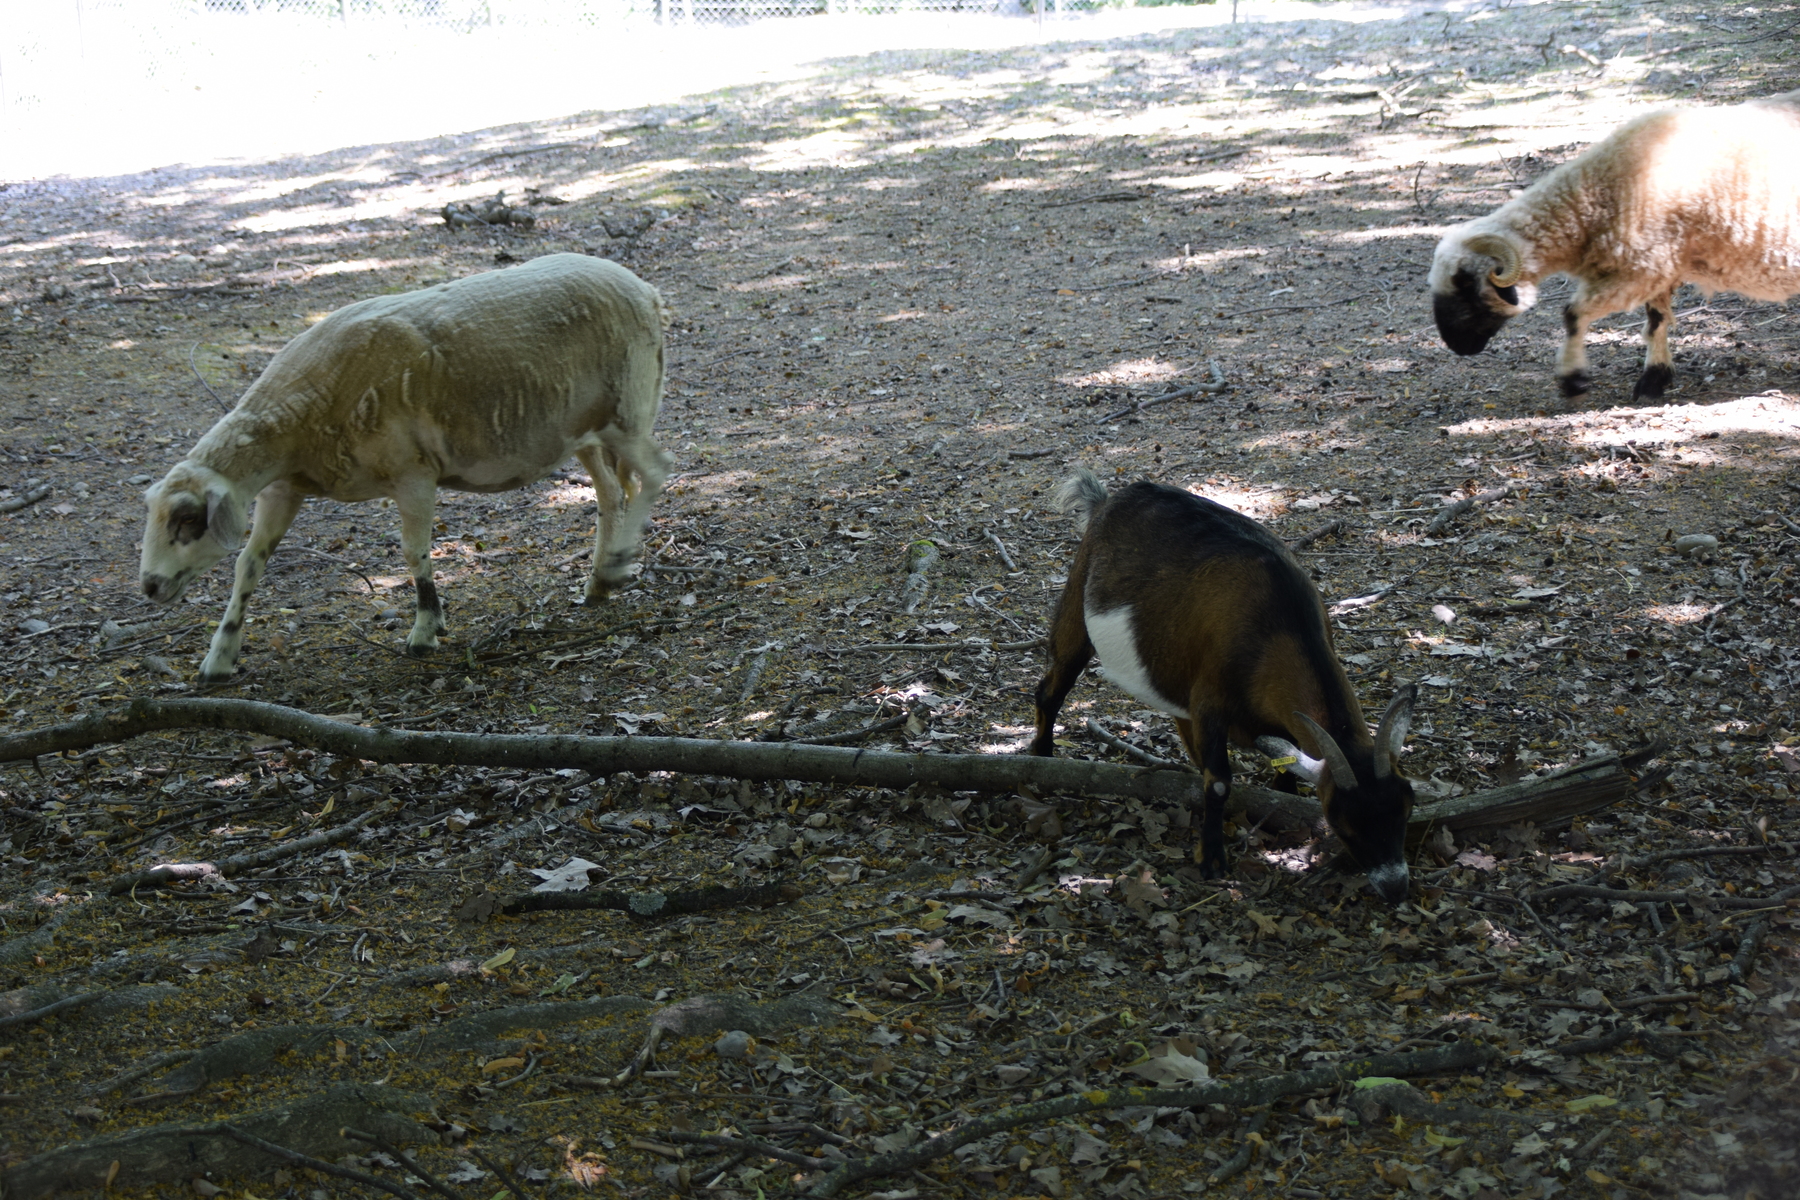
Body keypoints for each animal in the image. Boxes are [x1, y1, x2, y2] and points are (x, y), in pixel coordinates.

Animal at [140, 253, 673, 683]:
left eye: (187, 519)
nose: (150, 586)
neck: (297, 420)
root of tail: (644, 289)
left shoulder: (413, 474)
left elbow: (414, 553)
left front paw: (425, 630)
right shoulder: (283, 489)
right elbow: (249, 565)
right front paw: (219, 658)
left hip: (629, 407)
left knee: (657, 471)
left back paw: (617, 566)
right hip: (586, 429)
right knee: (610, 493)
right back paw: (599, 580)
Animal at [1029, 469, 1417, 904]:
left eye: (1407, 808)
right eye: (1342, 820)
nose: (1395, 886)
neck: (1277, 625)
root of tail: (1108, 501)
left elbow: (1283, 764)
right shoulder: (1212, 700)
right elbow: (1217, 783)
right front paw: (1211, 859)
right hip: (1076, 607)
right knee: (1051, 689)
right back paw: (1043, 759)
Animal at [1429, 88, 1800, 400]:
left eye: (1466, 283)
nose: (1457, 346)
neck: (1591, 200)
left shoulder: (1642, 268)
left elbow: (1572, 314)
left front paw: (1573, 379)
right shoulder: (1657, 267)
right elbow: (1656, 322)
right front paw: (1654, 379)